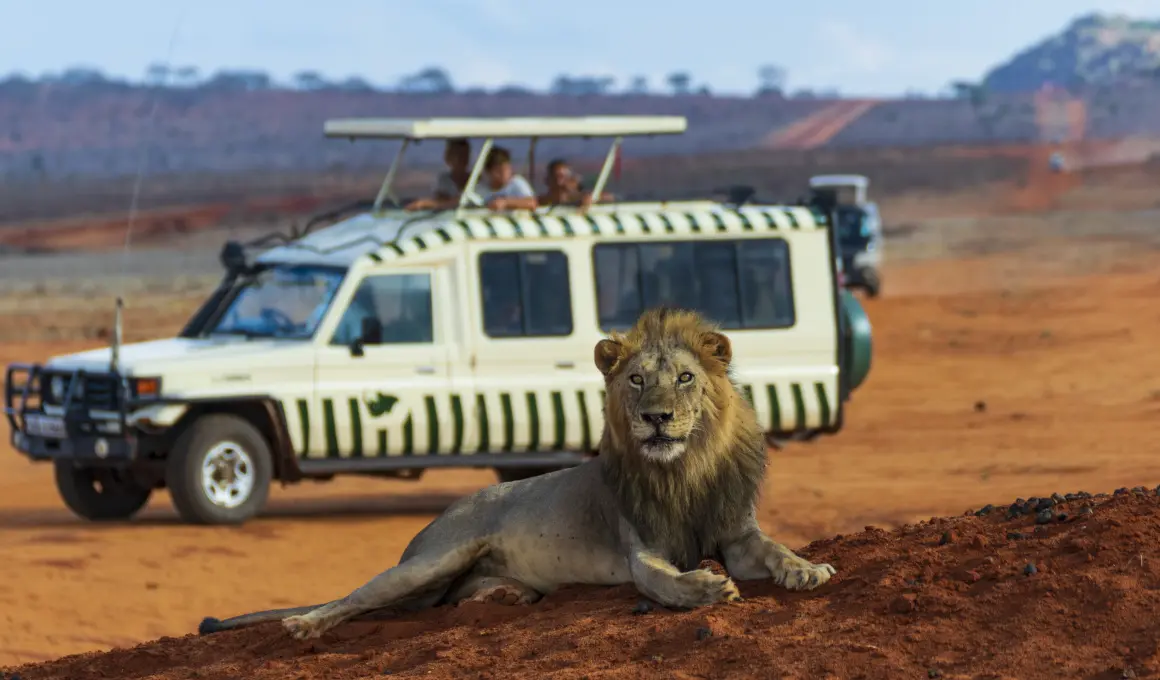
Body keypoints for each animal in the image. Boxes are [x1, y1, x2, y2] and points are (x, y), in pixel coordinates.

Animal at [198, 307, 835, 640]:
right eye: (635, 380)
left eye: (684, 378)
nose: (655, 417)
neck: (685, 470)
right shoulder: (640, 551)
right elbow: (663, 581)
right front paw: (706, 586)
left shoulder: (737, 533)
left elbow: (773, 549)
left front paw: (807, 570)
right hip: (435, 559)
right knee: (360, 598)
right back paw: (304, 624)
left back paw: (499, 596)